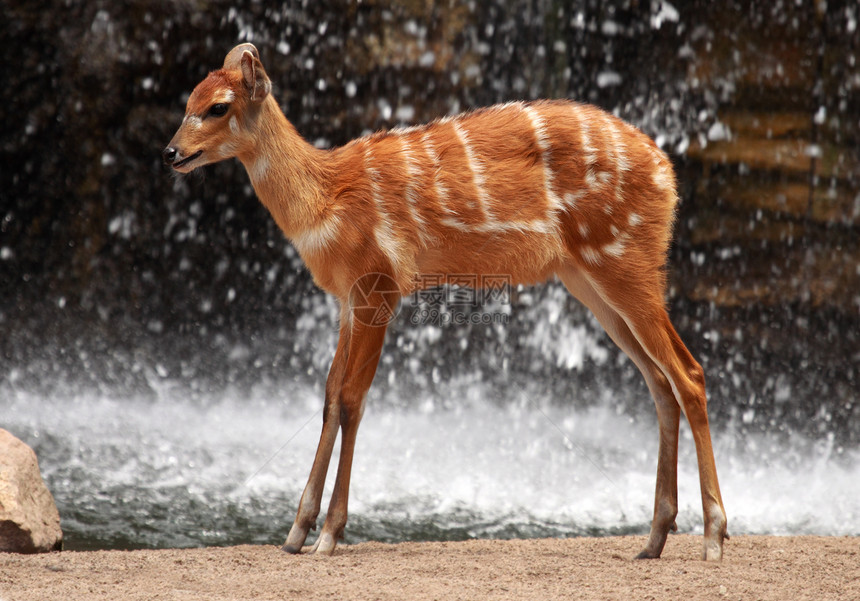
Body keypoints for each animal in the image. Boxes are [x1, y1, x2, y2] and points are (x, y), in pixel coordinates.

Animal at [165, 43, 728, 564]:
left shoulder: (380, 281)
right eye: (188, 98)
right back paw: (653, 540)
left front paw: (327, 535)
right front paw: (295, 533)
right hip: (590, 279)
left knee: (688, 373)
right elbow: (327, 396)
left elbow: (352, 400)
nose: (171, 152)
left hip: (626, 261)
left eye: (218, 106)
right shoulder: (348, 298)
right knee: (659, 383)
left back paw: (713, 537)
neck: (326, 200)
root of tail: (668, 173)